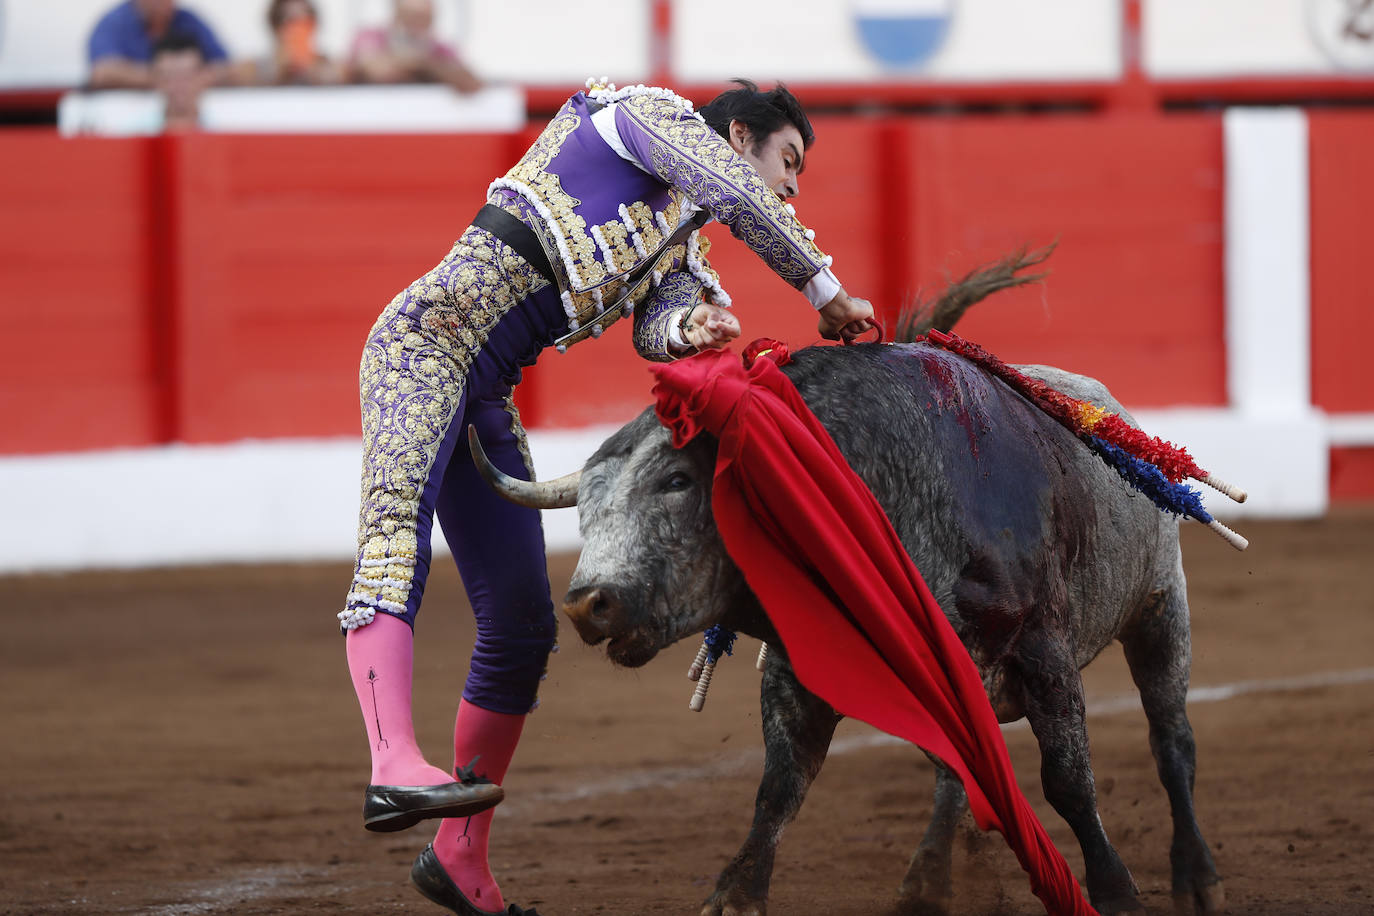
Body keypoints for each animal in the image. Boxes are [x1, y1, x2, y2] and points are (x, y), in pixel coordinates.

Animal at [469, 263, 1225, 911]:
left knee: (1172, 738)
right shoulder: (799, 671)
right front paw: (736, 894)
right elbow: (781, 787)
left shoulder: (1042, 650)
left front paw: (1114, 893)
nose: (586, 602)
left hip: (1161, 607)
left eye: (678, 480)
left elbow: (1067, 778)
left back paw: (1198, 878)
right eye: (583, 507)